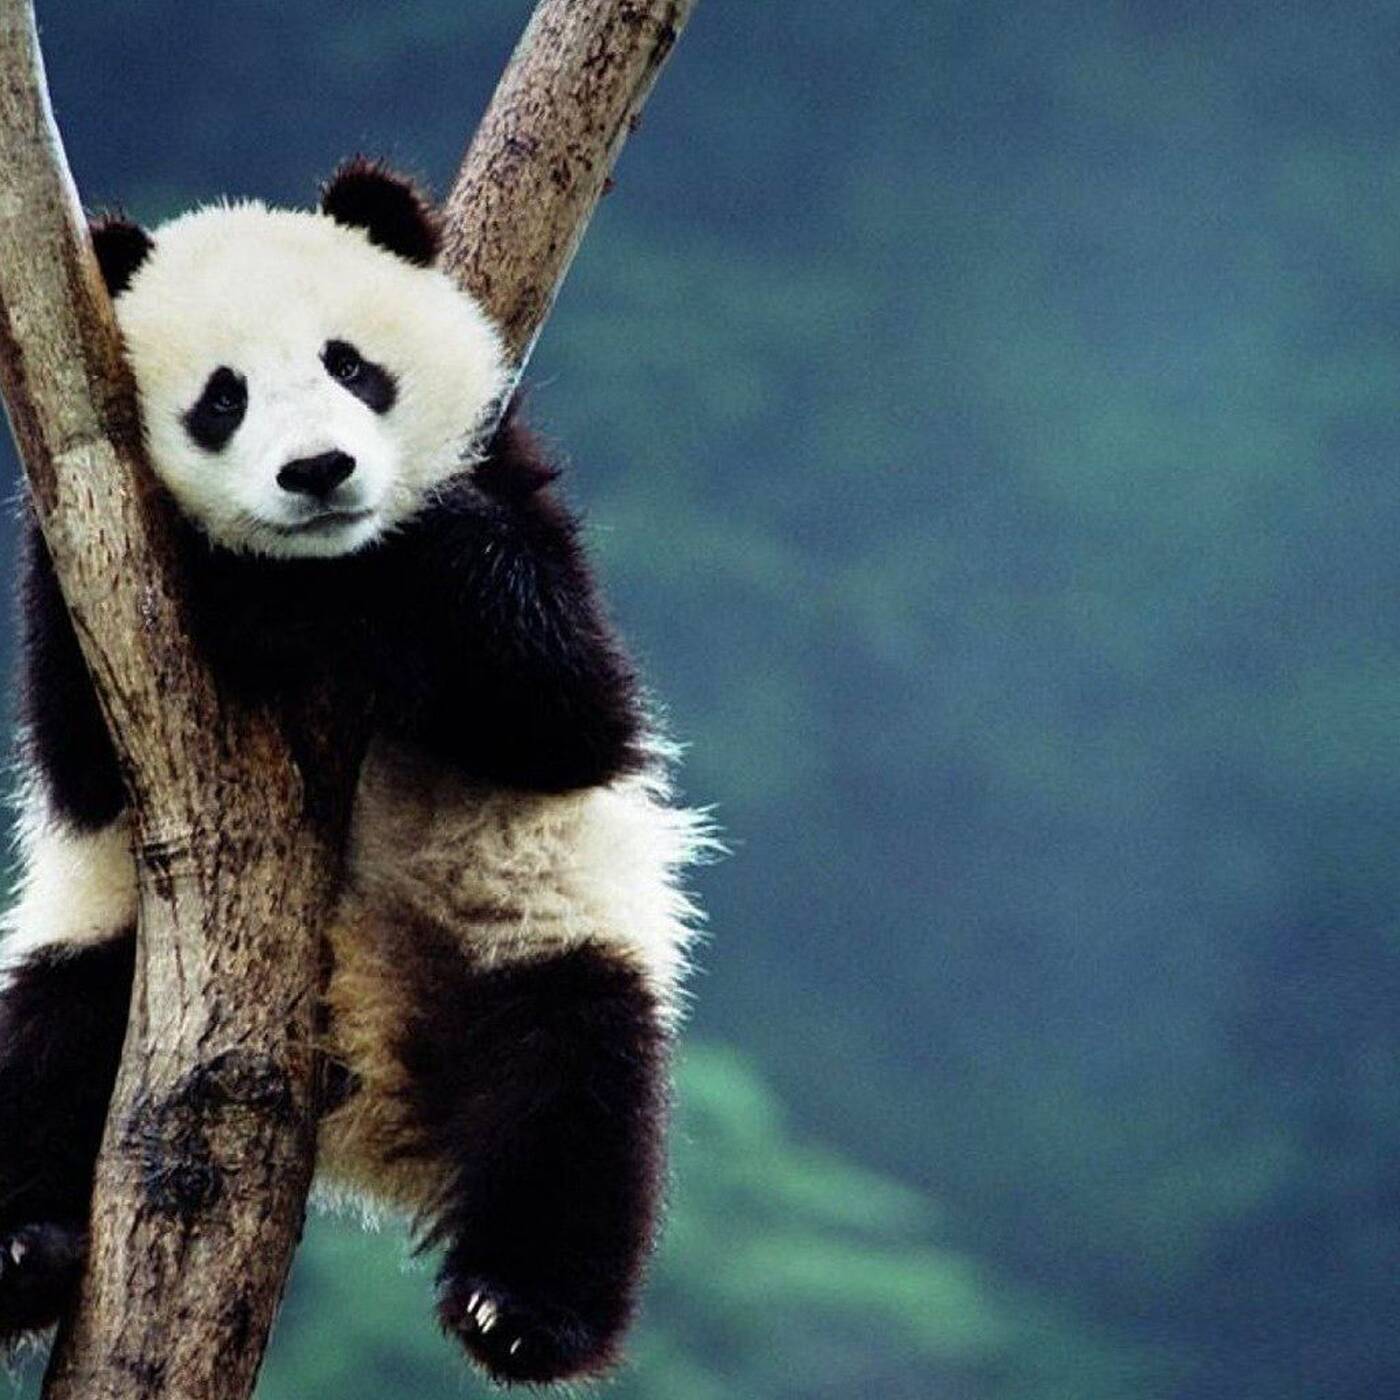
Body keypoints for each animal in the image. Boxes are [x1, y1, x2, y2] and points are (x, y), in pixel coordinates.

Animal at [0, 159, 710, 1385]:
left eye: (351, 365)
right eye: (221, 399)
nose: (319, 471)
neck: (328, 573)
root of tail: (369, 1096)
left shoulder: (516, 491)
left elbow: (570, 709)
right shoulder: (91, 560)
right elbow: (84, 762)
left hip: (531, 935)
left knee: (576, 1097)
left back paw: (518, 1309)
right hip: (102, 957)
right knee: (46, 1046)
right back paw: (22, 1249)